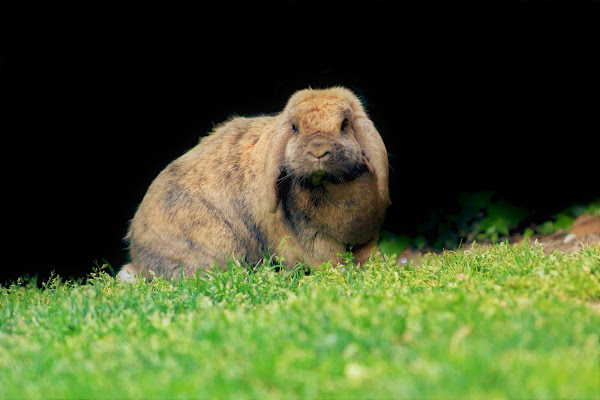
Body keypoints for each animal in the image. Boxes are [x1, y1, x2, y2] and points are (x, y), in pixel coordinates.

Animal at [118, 87, 390, 282]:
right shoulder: (313, 242)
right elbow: (328, 262)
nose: (318, 150)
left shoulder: (366, 241)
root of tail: (137, 255)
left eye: (344, 124)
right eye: (294, 127)